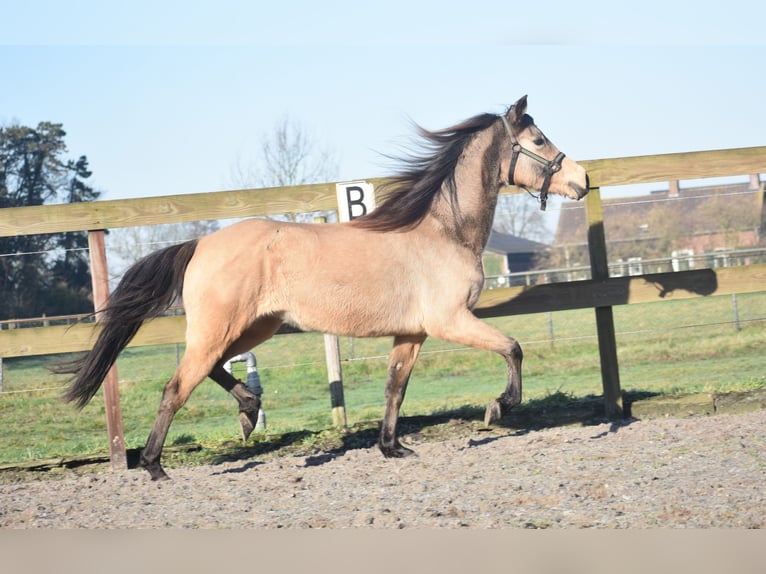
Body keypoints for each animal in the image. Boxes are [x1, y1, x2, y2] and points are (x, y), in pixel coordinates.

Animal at [58, 95, 588, 482]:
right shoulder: (450, 321)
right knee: (177, 386)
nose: (582, 179)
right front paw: (498, 408)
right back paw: (154, 466)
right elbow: (513, 347)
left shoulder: (412, 333)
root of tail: (201, 242)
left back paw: (249, 412)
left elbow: (395, 387)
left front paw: (392, 447)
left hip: (254, 328)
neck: (442, 231)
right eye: (539, 139)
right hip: (220, 328)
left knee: (211, 370)